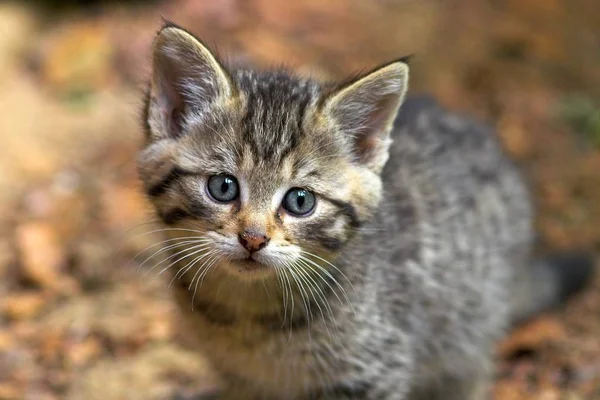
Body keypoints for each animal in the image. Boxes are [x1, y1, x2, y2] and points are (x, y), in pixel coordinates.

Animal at [137, 22, 596, 400]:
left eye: (300, 201)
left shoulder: (374, 369)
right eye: (223, 187)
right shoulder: (242, 381)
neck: (249, 313)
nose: (253, 238)